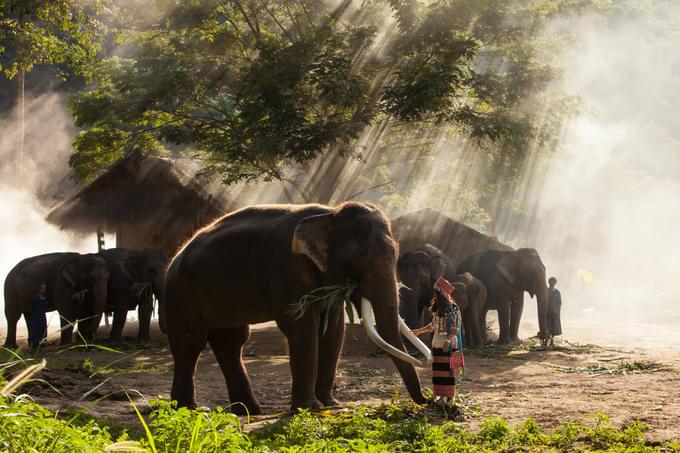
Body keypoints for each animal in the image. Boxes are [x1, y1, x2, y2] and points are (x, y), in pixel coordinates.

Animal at [162, 201, 428, 414]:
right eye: (361, 254)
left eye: (396, 254)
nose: (426, 399)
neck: (330, 213)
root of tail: (176, 257)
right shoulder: (288, 268)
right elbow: (302, 328)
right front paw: (310, 408)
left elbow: (333, 330)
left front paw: (331, 404)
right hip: (180, 293)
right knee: (190, 342)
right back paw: (192, 410)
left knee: (231, 341)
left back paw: (249, 411)